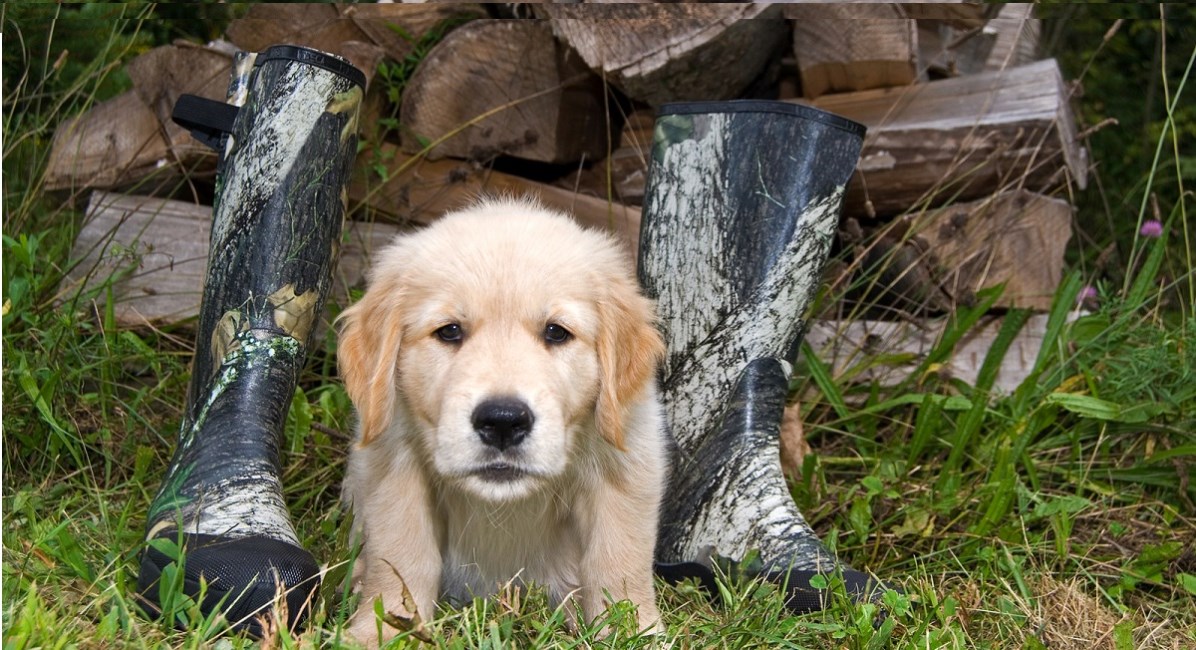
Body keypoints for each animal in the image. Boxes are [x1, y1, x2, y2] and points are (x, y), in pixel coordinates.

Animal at [337, 198, 669, 646]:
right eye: (449, 331)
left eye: (556, 333)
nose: (503, 422)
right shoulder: (392, 461)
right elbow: (401, 556)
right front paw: (385, 630)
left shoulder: (627, 466)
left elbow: (619, 562)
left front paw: (632, 632)